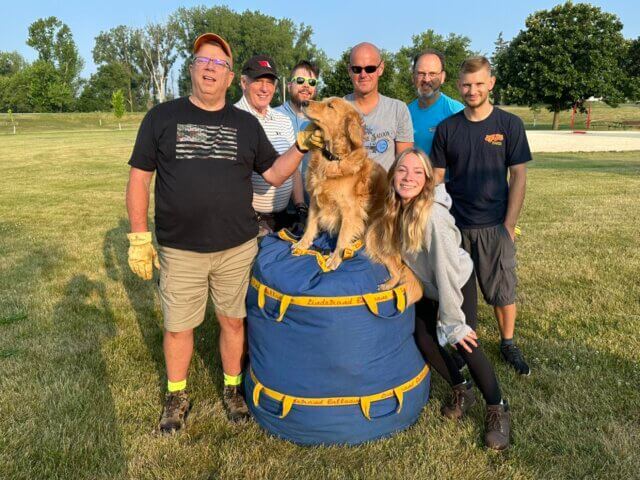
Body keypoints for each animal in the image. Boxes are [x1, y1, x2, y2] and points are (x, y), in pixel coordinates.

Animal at [292, 96, 422, 304]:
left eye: (330, 106)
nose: (304, 102)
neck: (332, 159)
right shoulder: (314, 201)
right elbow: (310, 226)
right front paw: (303, 244)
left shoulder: (349, 211)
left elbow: (341, 238)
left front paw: (335, 258)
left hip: (372, 234)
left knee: (397, 269)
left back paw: (387, 286)